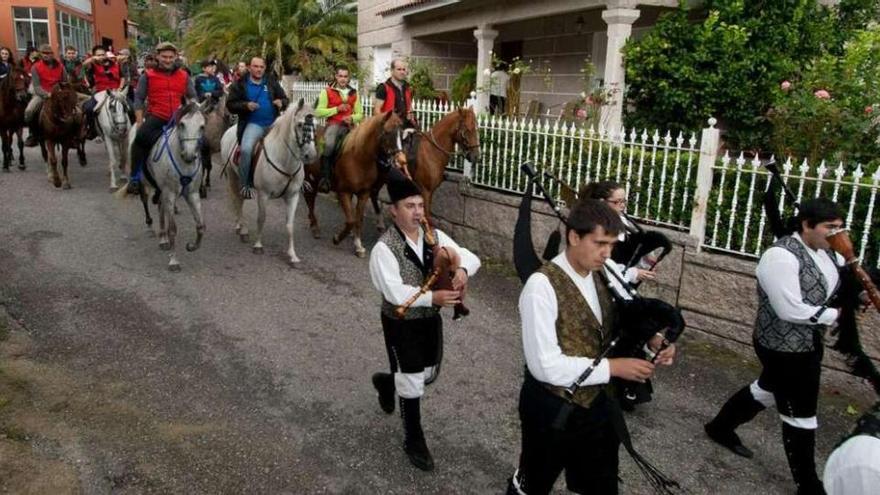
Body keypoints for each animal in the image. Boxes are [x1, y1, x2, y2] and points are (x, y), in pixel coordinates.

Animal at [222, 98, 318, 266]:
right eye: (300, 124)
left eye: (316, 124)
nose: (310, 155)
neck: (284, 160)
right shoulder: (263, 194)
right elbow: (262, 218)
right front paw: (258, 245)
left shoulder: (293, 196)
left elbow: (290, 225)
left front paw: (292, 255)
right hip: (233, 176)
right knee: (238, 201)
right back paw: (242, 229)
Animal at [300, 111, 402, 258]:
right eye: (387, 132)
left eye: (401, 132)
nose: (399, 159)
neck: (359, 157)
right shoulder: (344, 192)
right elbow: (350, 221)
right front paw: (337, 238)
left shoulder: (364, 193)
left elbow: (358, 220)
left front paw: (358, 245)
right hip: (310, 181)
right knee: (310, 201)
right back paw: (314, 227)